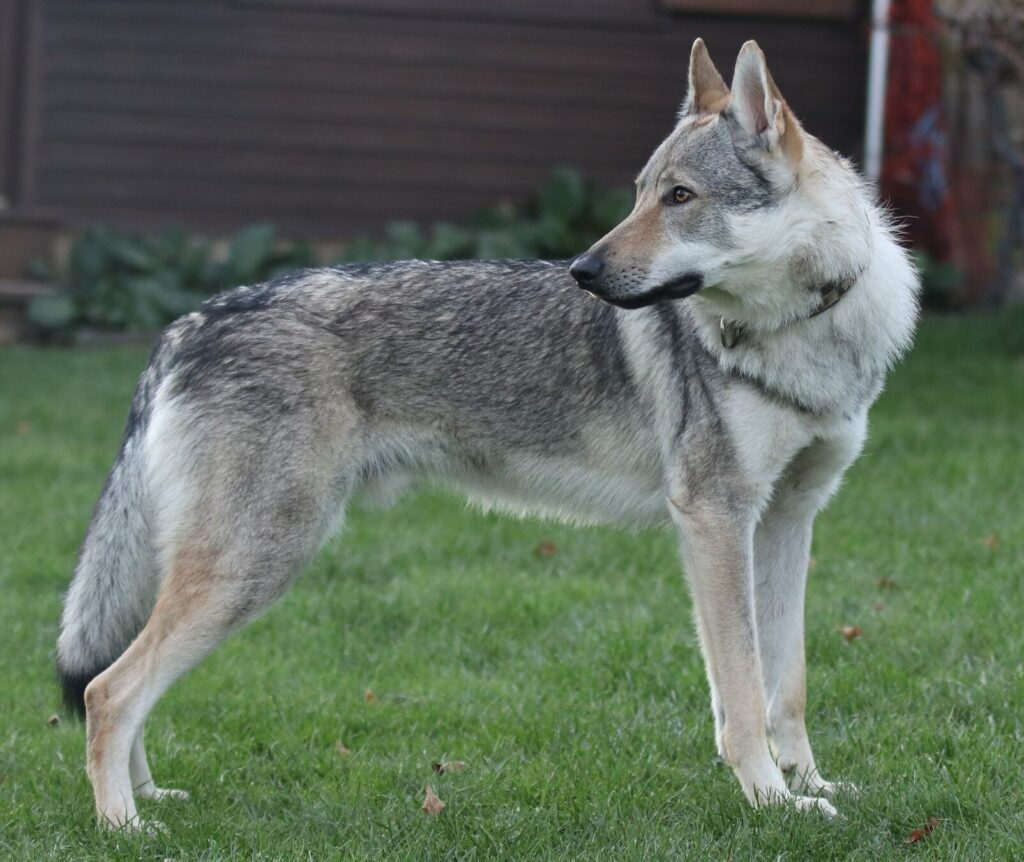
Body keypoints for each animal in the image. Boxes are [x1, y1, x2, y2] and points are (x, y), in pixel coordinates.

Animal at [56, 40, 921, 827]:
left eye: (680, 196)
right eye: (641, 195)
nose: (582, 271)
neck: (808, 330)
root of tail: (193, 320)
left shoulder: (788, 521)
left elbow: (787, 685)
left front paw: (811, 785)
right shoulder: (714, 520)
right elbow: (741, 694)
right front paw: (771, 802)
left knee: (122, 681)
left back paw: (148, 795)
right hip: (257, 562)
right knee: (106, 689)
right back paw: (124, 824)